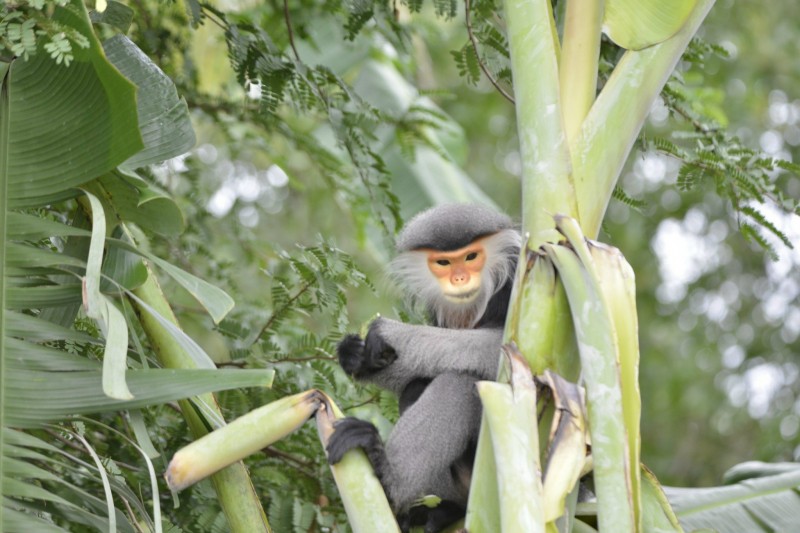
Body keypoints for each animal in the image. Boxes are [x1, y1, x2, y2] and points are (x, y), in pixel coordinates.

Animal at [326, 202, 520, 528]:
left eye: (471, 257)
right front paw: (356, 356)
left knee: (460, 381)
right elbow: (414, 371)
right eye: (443, 262)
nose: (459, 279)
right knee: (416, 385)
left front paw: (390, 332)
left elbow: (503, 350)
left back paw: (388, 476)